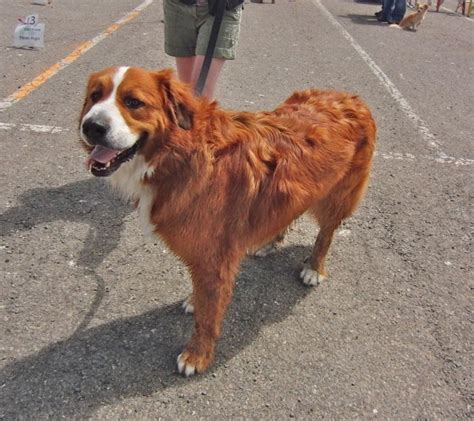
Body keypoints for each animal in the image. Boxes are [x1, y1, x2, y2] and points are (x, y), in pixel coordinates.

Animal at [79, 67, 376, 376]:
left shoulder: (215, 258)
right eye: (95, 96)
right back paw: (270, 242)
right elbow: (203, 295)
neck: (182, 155)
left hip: (336, 196)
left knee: (326, 233)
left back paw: (314, 267)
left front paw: (197, 355)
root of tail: (351, 98)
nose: (91, 127)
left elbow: (208, 317)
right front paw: (195, 301)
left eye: (133, 102)